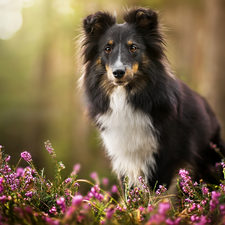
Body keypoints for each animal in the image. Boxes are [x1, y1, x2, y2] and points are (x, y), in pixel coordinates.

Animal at [78, 7, 225, 190]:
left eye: (133, 48)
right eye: (107, 49)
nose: (118, 73)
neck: (126, 96)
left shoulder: (166, 157)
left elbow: (159, 192)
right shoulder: (123, 157)